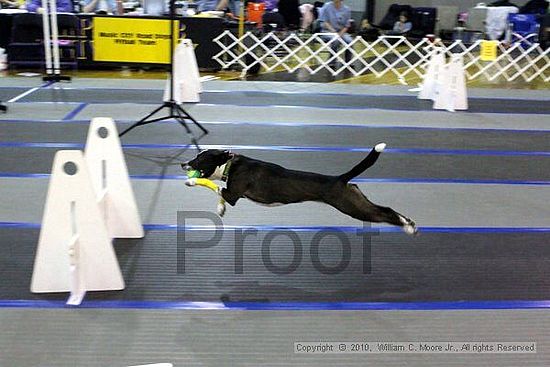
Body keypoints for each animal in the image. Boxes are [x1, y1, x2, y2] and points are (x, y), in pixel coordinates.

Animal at [183, 144, 420, 236]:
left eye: (199, 159)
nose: (183, 164)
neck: (230, 164)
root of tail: (341, 179)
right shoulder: (230, 194)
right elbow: (219, 194)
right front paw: (220, 210)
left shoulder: (233, 193)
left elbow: (212, 186)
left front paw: (192, 182)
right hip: (356, 199)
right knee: (385, 209)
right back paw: (409, 223)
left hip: (351, 206)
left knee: (382, 213)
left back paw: (407, 227)